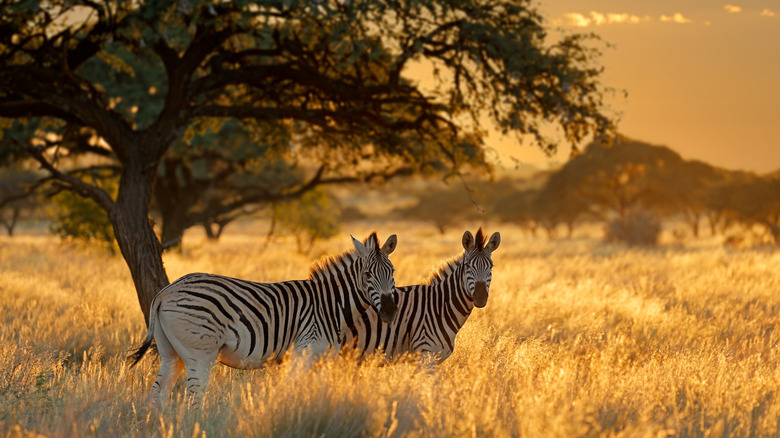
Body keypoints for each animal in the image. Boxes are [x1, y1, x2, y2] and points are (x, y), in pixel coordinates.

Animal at [129, 231, 400, 406]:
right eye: (367, 274)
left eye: (393, 271)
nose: (389, 311)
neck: (330, 304)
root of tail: (165, 291)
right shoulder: (303, 351)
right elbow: (293, 392)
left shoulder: (322, 359)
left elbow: (315, 393)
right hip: (200, 352)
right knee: (193, 396)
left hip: (171, 352)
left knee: (157, 395)